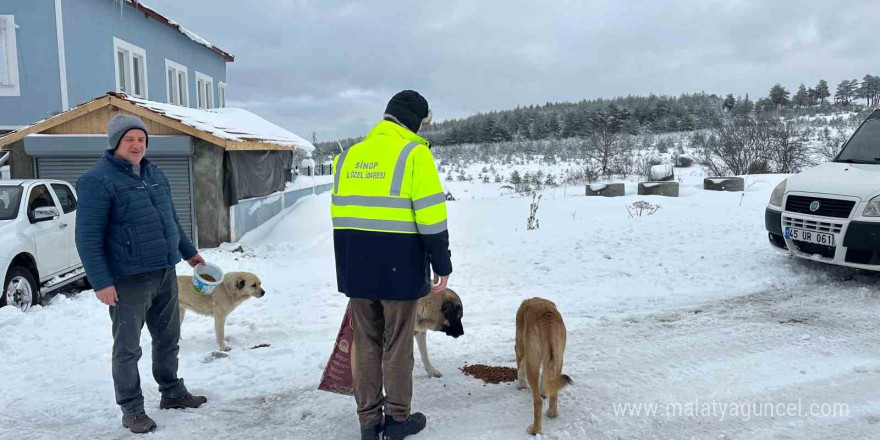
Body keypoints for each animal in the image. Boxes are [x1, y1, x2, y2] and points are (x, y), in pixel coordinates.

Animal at [512, 298, 576, 434]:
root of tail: (547, 322)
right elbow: (545, 378)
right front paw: (544, 390)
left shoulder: (521, 347)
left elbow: (520, 369)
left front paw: (521, 386)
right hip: (558, 358)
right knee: (554, 393)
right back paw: (552, 413)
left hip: (532, 362)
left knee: (537, 401)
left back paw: (534, 429)